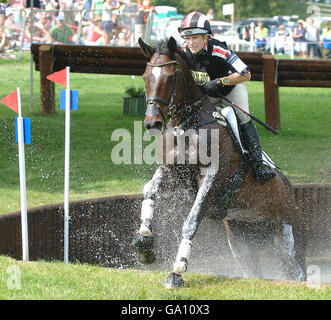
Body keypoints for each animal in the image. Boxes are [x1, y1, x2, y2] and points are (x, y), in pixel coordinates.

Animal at [132, 36, 306, 288]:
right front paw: (144, 243)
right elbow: (150, 190)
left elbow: (191, 220)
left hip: (286, 233)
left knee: (296, 270)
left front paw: (177, 272)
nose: (152, 123)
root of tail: (291, 190)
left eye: (171, 77)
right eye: (146, 76)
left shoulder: (212, 179)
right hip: (242, 239)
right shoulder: (172, 173)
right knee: (252, 266)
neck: (187, 124)